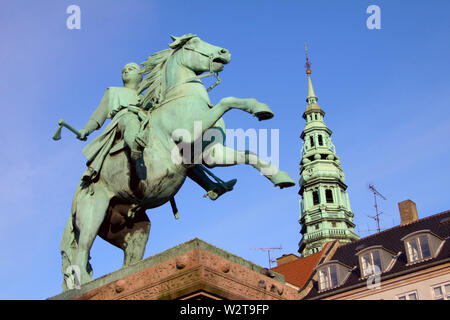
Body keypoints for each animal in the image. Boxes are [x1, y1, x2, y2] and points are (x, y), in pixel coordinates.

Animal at [60, 34, 296, 290]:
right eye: (193, 43)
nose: (224, 52)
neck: (181, 97)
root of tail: (74, 201)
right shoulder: (191, 137)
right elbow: (227, 100)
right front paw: (258, 107)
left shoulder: (211, 154)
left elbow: (248, 154)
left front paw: (281, 177)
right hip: (93, 216)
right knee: (80, 256)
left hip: (135, 230)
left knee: (127, 261)